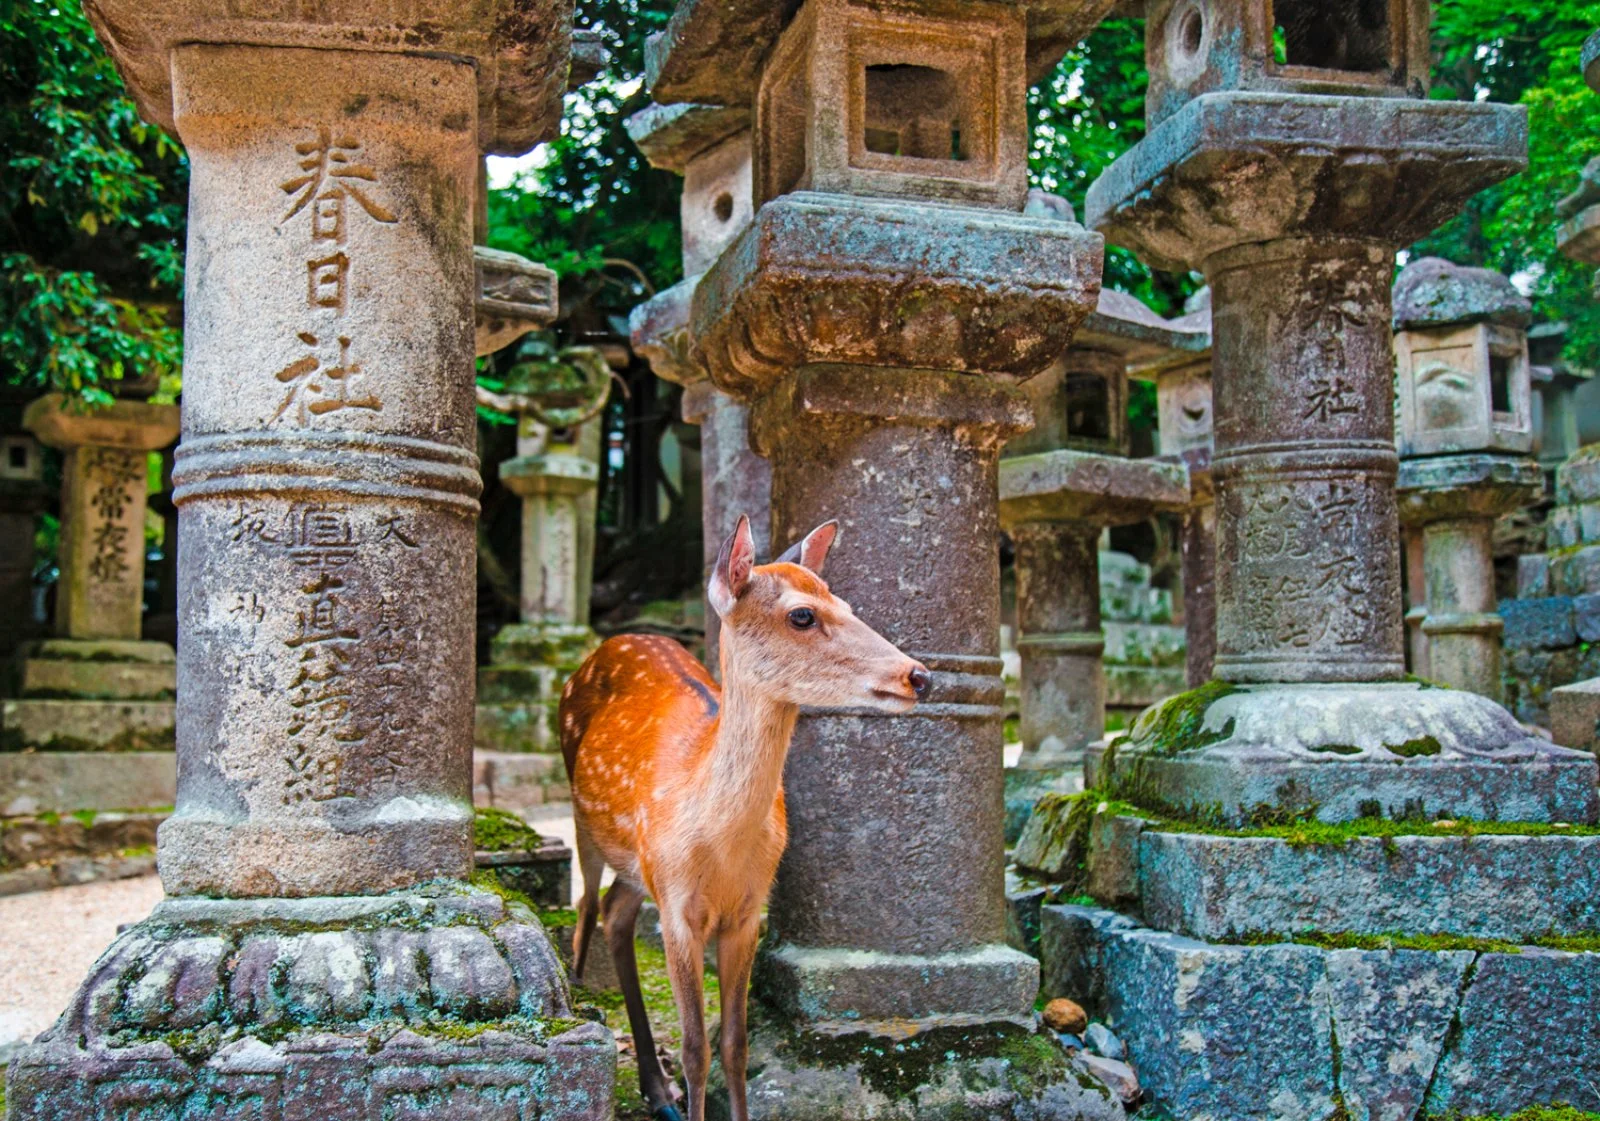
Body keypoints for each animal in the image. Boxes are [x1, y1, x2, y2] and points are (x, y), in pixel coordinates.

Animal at [556, 514, 928, 1119]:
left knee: (615, 912)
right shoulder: (678, 908)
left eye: (847, 604)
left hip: (639, 865)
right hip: (585, 820)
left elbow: (735, 1043)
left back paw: (656, 1090)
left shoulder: (750, 909)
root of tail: (611, 640)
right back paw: (582, 993)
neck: (720, 847)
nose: (919, 676)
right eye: (802, 614)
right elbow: (695, 1047)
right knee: (587, 906)